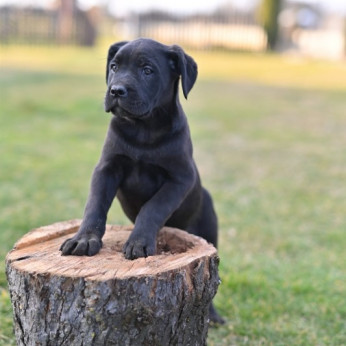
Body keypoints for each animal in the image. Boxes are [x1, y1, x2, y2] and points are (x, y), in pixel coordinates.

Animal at [61, 38, 224, 324]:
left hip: (208, 228)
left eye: (147, 70)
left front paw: (138, 242)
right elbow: (95, 205)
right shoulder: (106, 169)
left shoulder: (180, 179)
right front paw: (84, 239)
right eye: (114, 67)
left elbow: (153, 208)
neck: (143, 129)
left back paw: (213, 316)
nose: (116, 90)